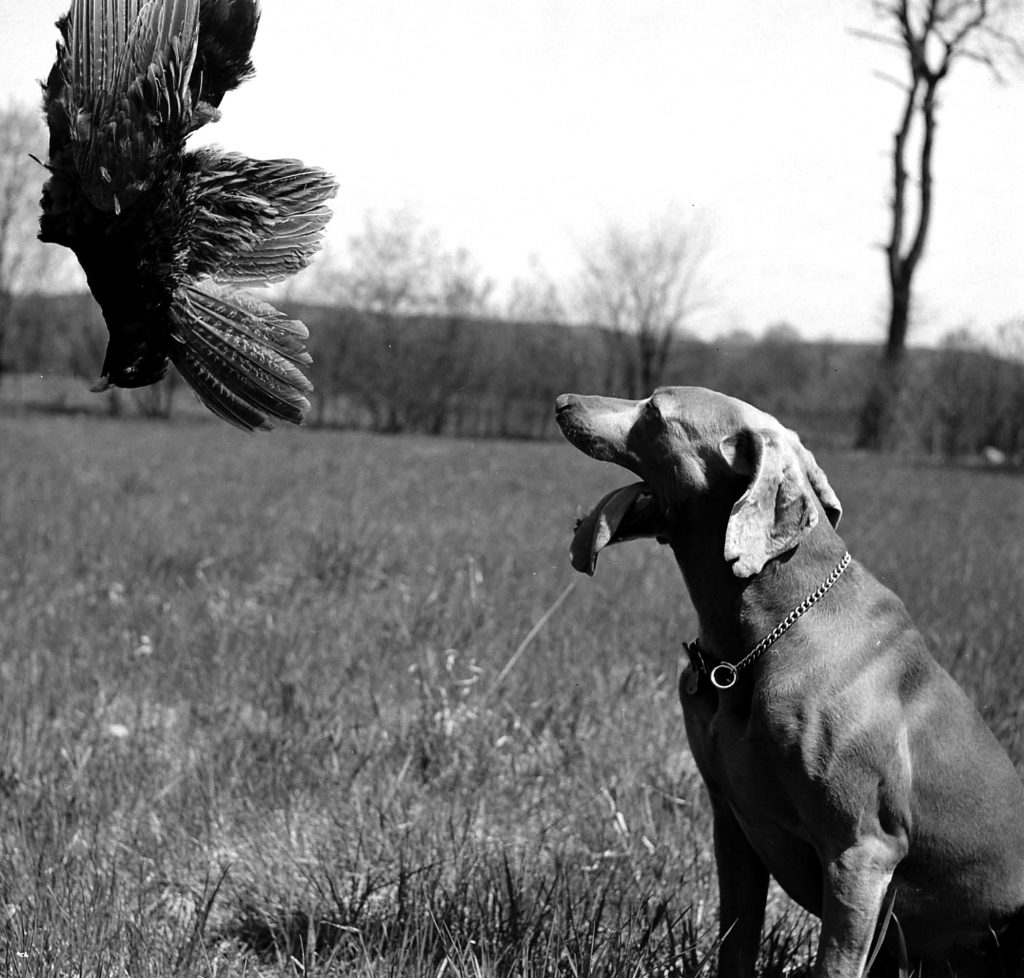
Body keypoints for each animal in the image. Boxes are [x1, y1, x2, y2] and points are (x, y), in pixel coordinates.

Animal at [557, 387, 1024, 974]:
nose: (561, 402)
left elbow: (835, 962)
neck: (763, 639)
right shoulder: (732, 824)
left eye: (655, 411)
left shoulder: (860, 854)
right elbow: (736, 942)